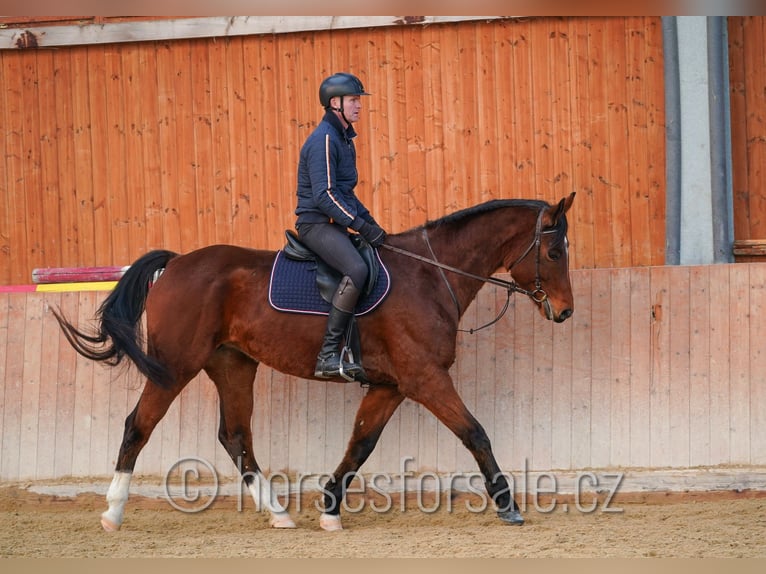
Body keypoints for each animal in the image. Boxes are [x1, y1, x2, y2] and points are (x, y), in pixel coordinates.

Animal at [53, 193, 575, 532]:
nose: (565, 312)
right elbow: (475, 432)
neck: (430, 275)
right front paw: (508, 506)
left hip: (233, 364)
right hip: (175, 365)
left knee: (235, 436)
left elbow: (360, 444)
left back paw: (279, 513)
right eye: (553, 251)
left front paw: (329, 508)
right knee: (138, 426)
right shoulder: (425, 378)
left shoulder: (390, 385)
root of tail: (177, 263)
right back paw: (113, 513)